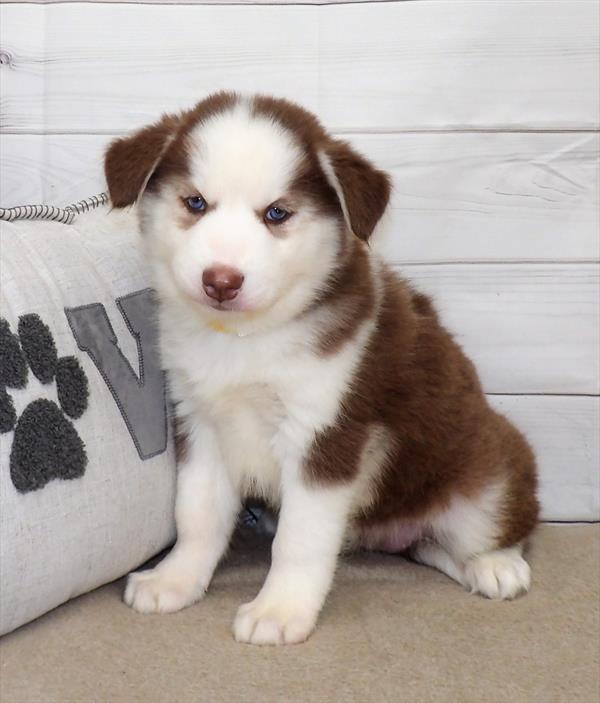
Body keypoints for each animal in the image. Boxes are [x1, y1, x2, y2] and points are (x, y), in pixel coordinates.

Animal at [104, 95, 540, 648]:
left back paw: (497, 566)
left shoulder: (325, 434)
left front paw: (280, 608)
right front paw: (176, 579)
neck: (247, 339)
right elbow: (197, 514)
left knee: (494, 525)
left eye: (277, 213)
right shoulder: (200, 422)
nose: (221, 280)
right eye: (195, 203)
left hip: (484, 478)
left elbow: (299, 539)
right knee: (426, 547)